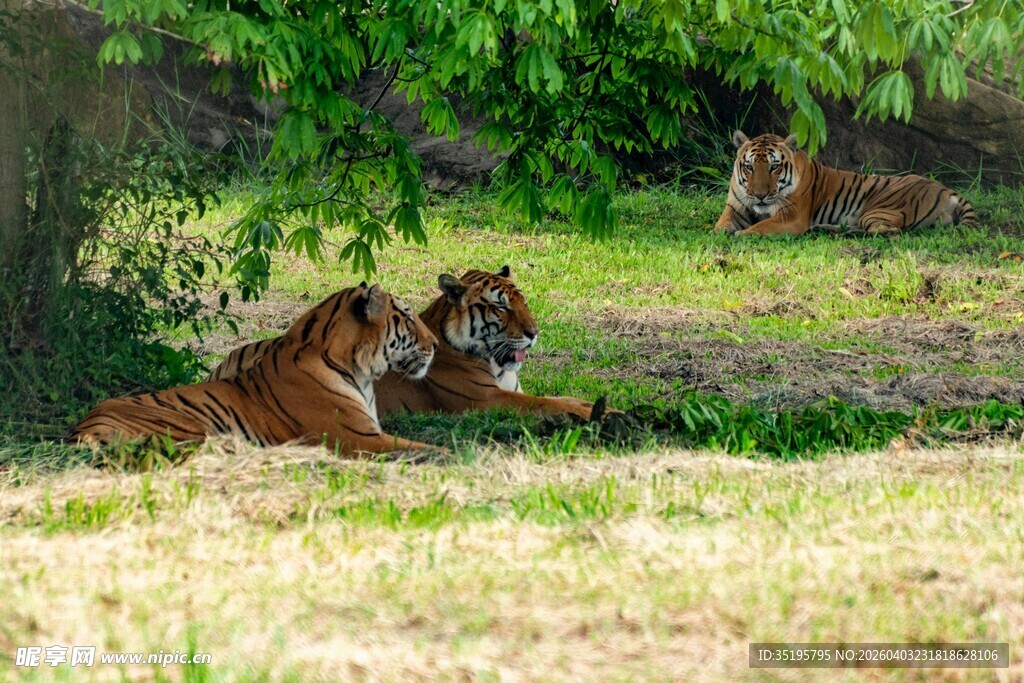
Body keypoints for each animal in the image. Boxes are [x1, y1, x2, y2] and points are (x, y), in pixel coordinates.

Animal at [71, 283, 441, 455]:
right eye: (408, 317)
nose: (436, 344)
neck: (361, 372)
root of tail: (82, 429)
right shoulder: (358, 438)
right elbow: (428, 448)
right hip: (190, 428)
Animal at [207, 266, 600, 422]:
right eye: (501, 306)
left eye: (523, 302)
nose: (535, 332)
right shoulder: (487, 399)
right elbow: (546, 402)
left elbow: (561, 397)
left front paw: (589, 405)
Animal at [714, 131, 976, 236]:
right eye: (749, 167)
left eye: (774, 167)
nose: (759, 195)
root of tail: (947, 190)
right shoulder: (735, 208)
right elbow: (721, 226)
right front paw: (724, 233)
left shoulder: (791, 217)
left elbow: (761, 227)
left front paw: (743, 234)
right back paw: (825, 228)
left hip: (879, 210)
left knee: (888, 232)